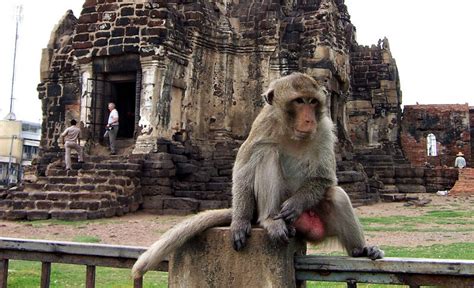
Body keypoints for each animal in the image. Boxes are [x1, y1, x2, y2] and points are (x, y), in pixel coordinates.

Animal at [131, 72, 384, 280]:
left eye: (312, 102)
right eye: (299, 101)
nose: (309, 119)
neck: (291, 131)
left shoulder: (324, 129)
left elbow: (326, 179)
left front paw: (295, 203)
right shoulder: (262, 123)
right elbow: (243, 169)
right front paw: (240, 221)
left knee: (336, 195)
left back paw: (360, 250)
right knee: (267, 154)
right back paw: (270, 221)